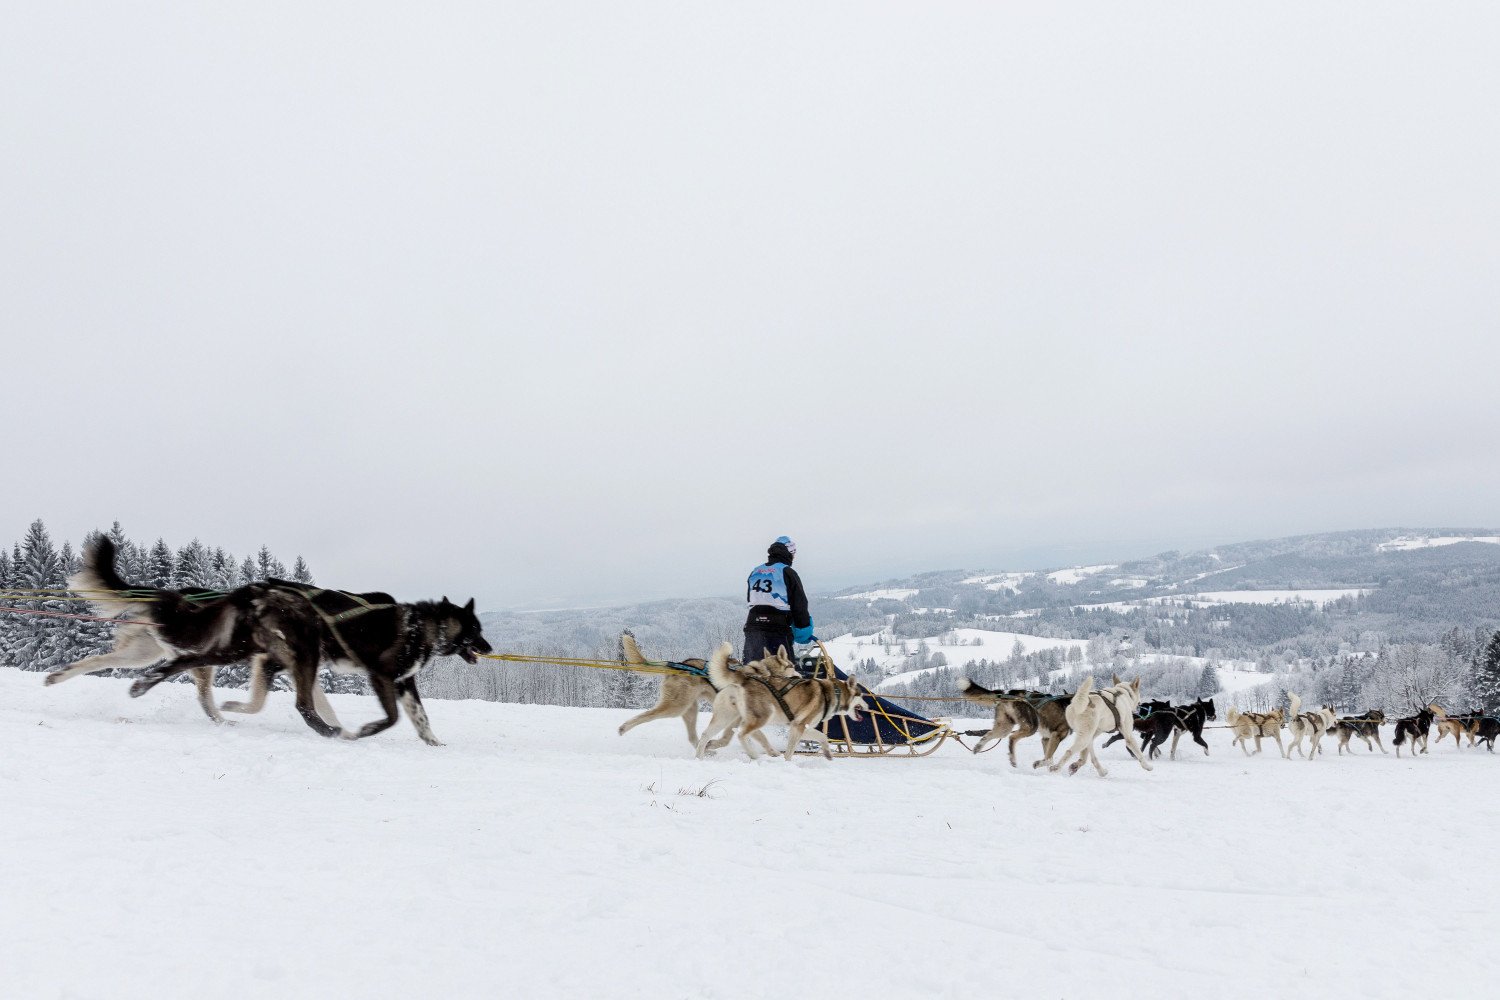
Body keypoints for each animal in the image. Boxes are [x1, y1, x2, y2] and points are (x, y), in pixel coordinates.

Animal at [612, 632, 798, 749]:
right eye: (793, 666)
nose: (799, 674)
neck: (767, 675)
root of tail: (678, 664)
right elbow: (740, 738)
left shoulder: (738, 719)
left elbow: (742, 737)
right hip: (676, 707)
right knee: (647, 715)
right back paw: (623, 728)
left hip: (690, 710)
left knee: (693, 737)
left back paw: (706, 751)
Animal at [693, 641, 870, 758]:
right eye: (862, 695)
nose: (868, 706)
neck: (833, 692)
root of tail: (745, 677)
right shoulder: (798, 726)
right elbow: (789, 751)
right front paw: (785, 761)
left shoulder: (800, 727)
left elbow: (822, 737)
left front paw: (827, 752)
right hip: (763, 716)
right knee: (742, 734)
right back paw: (753, 756)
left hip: (725, 717)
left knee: (706, 735)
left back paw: (700, 756)